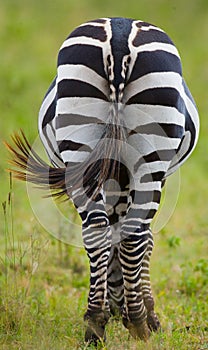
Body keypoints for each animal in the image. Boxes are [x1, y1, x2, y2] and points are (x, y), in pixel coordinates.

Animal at [6, 17, 198, 344]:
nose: (118, 312)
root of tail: (120, 35)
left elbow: (113, 236)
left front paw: (113, 308)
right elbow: (146, 239)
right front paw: (149, 315)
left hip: (81, 146)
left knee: (97, 230)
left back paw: (95, 325)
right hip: (150, 157)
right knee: (134, 234)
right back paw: (138, 323)